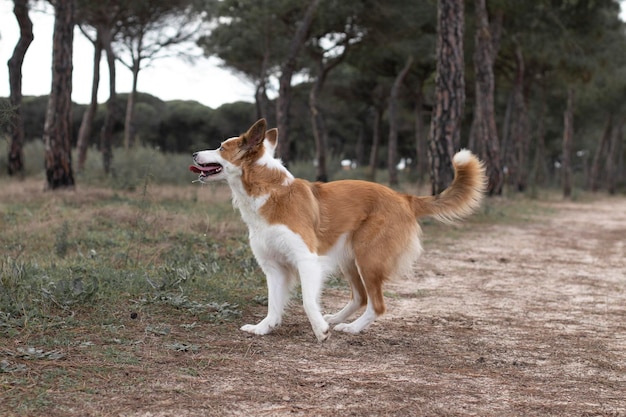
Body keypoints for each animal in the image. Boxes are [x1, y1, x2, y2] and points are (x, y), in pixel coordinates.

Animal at [190, 118, 488, 340]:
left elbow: (307, 300)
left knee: (377, 304)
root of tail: (404, 198)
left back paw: (352, 328)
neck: (269, 190)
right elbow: (274, 303)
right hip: (350, 258)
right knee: (361, 297)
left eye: (221, 147)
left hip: (368, 258)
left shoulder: (307, 259)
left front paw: (319, 329)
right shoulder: (273, 266)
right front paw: (264, 328)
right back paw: (335, 318)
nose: (193, 153)